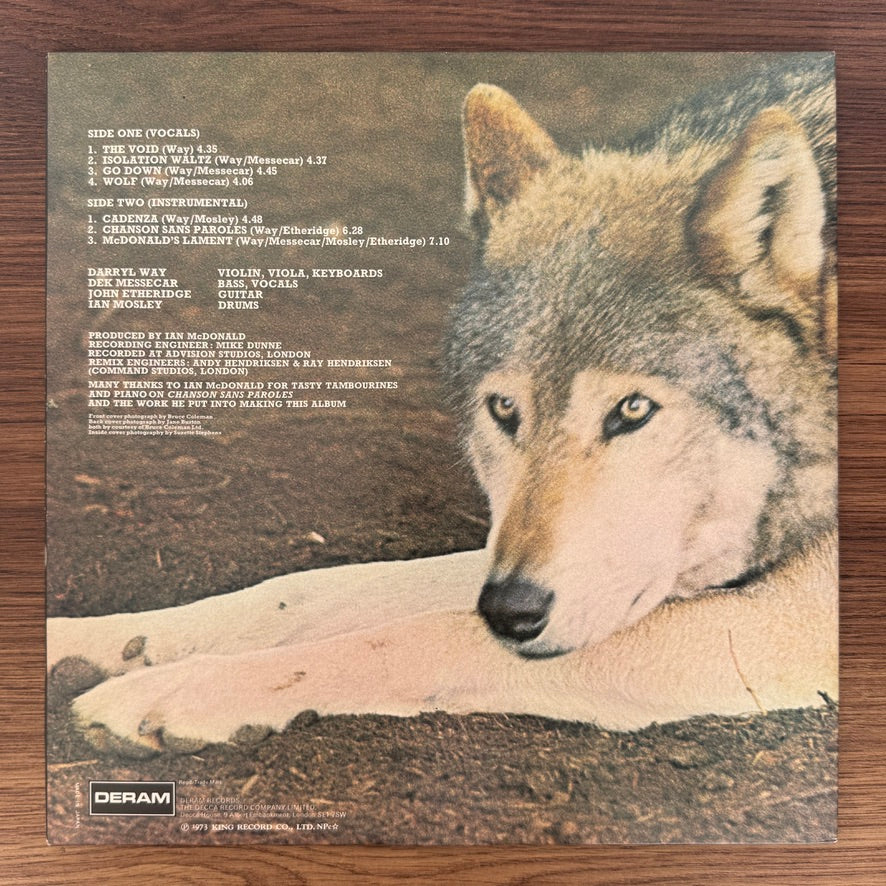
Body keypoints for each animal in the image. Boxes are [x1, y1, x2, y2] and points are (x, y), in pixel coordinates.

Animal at [48, 56, 837, 754]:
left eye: (634, 411)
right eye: (504, 410)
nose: (512, 612)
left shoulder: (774, 625)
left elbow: (413, 635)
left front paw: (179, 692)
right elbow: (310, 590)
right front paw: (86, 641)